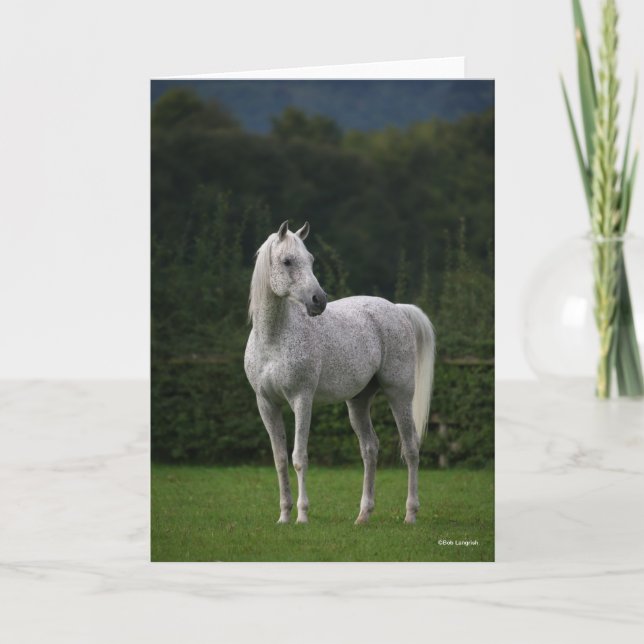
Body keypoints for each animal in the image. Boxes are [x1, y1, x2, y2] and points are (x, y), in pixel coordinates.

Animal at [244, 221, 436, 525]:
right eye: (287, 261)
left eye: (310, 259)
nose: (319, 300)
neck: (273, 338)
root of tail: (397, 309)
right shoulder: (266, 404)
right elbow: (280, 459)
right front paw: (284, 516)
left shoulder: (302, 400)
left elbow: (299, 457)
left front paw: (302, 516)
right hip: (358, 402)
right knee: (369, 449)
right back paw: (363, 515)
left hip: (400, 395)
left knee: (411, 449)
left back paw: (410, 514)